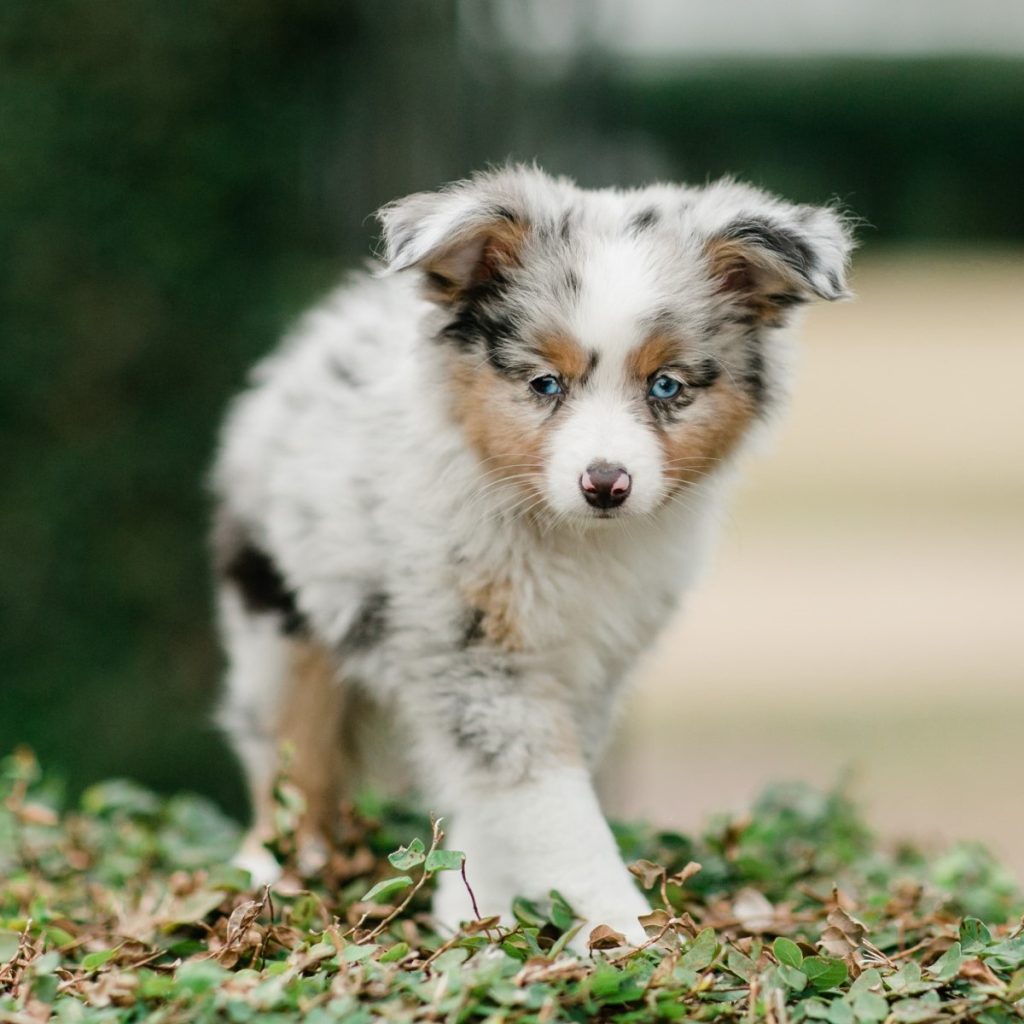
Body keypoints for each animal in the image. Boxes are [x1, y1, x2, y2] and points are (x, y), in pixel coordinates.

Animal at [209, 165, 856, 942]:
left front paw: (473, 907)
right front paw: (621, 928)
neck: (571, 536)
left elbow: (511, 796)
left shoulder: (594, 658)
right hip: (276, 607)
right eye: (545, 383)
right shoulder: (472, 641)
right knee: (286, 749)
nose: (606, 484)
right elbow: (549, 801)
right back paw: (268, 868)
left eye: (665, 385)